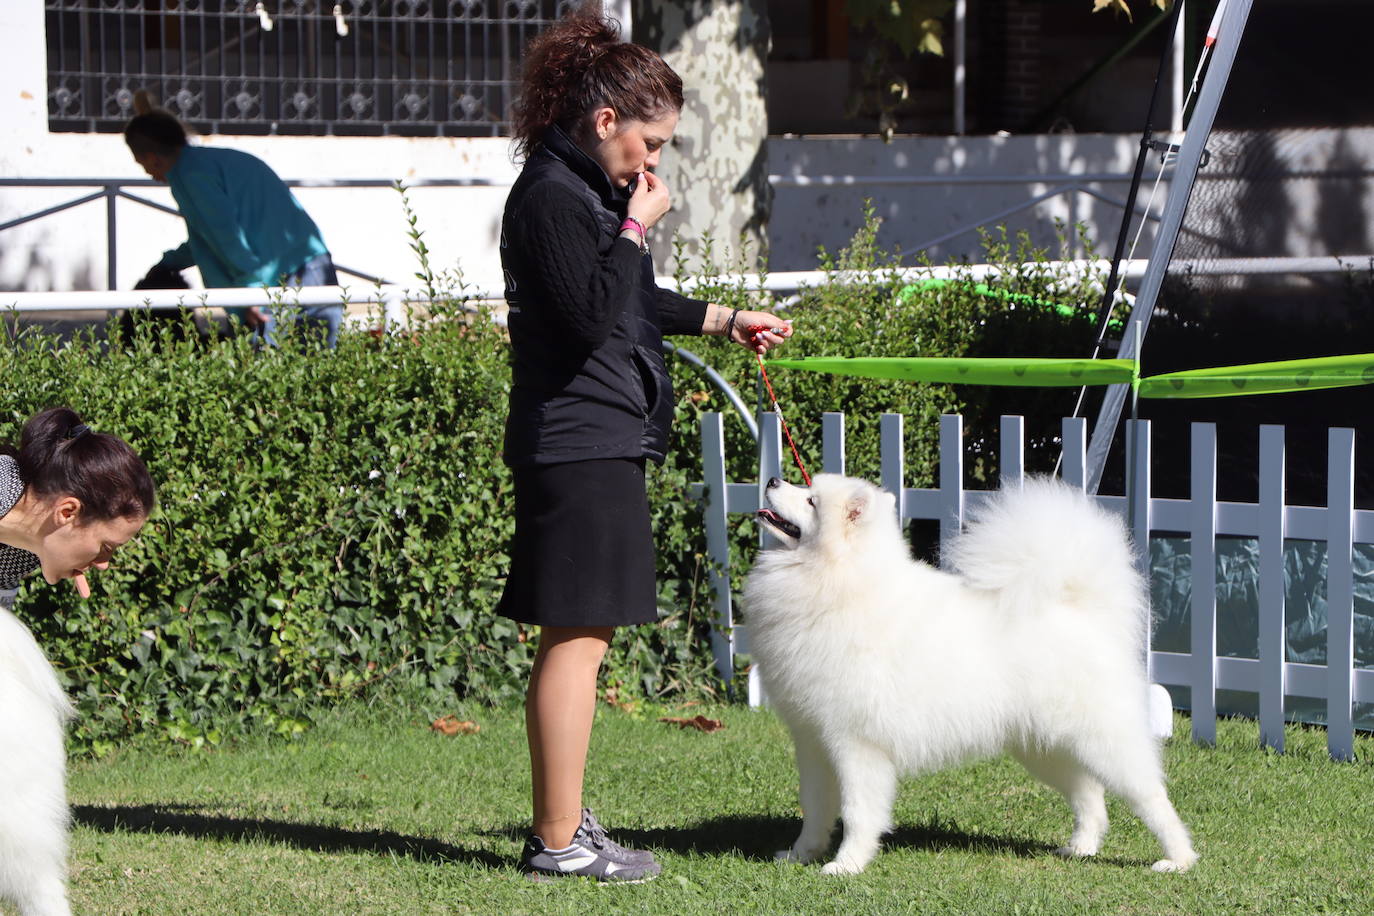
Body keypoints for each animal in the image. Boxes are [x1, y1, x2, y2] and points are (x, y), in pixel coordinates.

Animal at [747, 477, 1198, 878]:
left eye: (811, 501)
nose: (771, 480)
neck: (837, 582)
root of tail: (1080, 609)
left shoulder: (856, 744)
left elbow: (858, 812)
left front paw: (847, 865)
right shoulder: (812, 740)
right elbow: (814, 807)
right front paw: (801, 855)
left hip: (1104, 742)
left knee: (1151, 796)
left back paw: (1178, 859)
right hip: (1045, 747)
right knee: (1090, 794)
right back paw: (1081, 847)